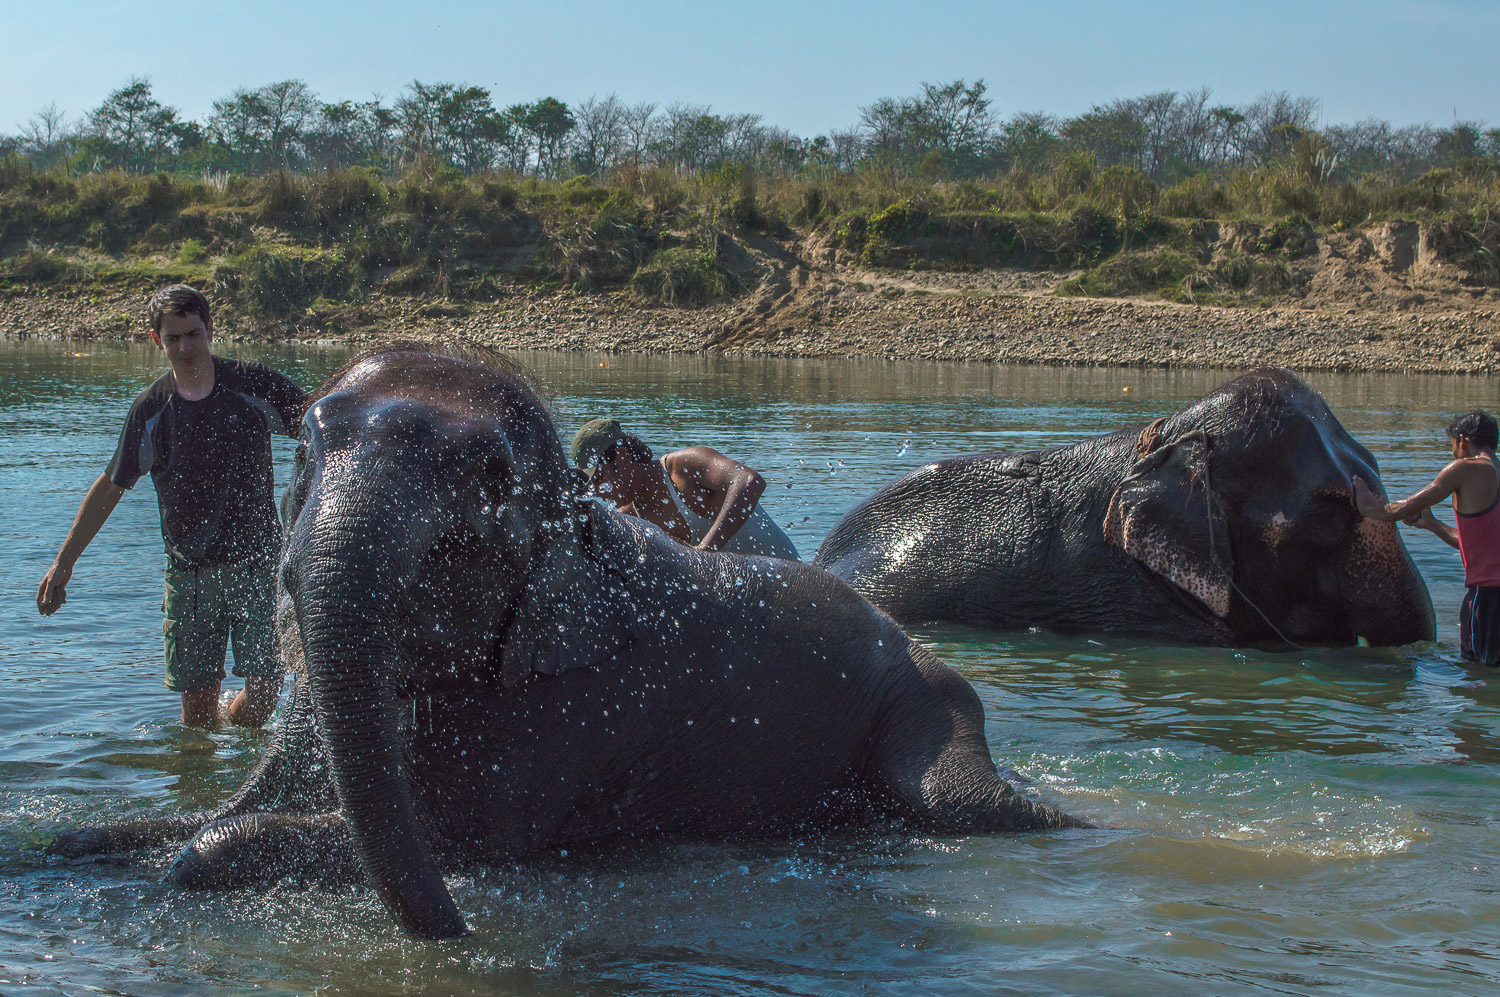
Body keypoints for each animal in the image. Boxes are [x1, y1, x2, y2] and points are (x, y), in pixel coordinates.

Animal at [51, 346, 1082, 939]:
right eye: (303, 446)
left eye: (487, 482)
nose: (463, 936)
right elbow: (223, 808)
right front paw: (79, 837)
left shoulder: (577, 704)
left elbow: (455, 838)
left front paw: (194, 854)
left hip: (926, 701)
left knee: (963, 804)